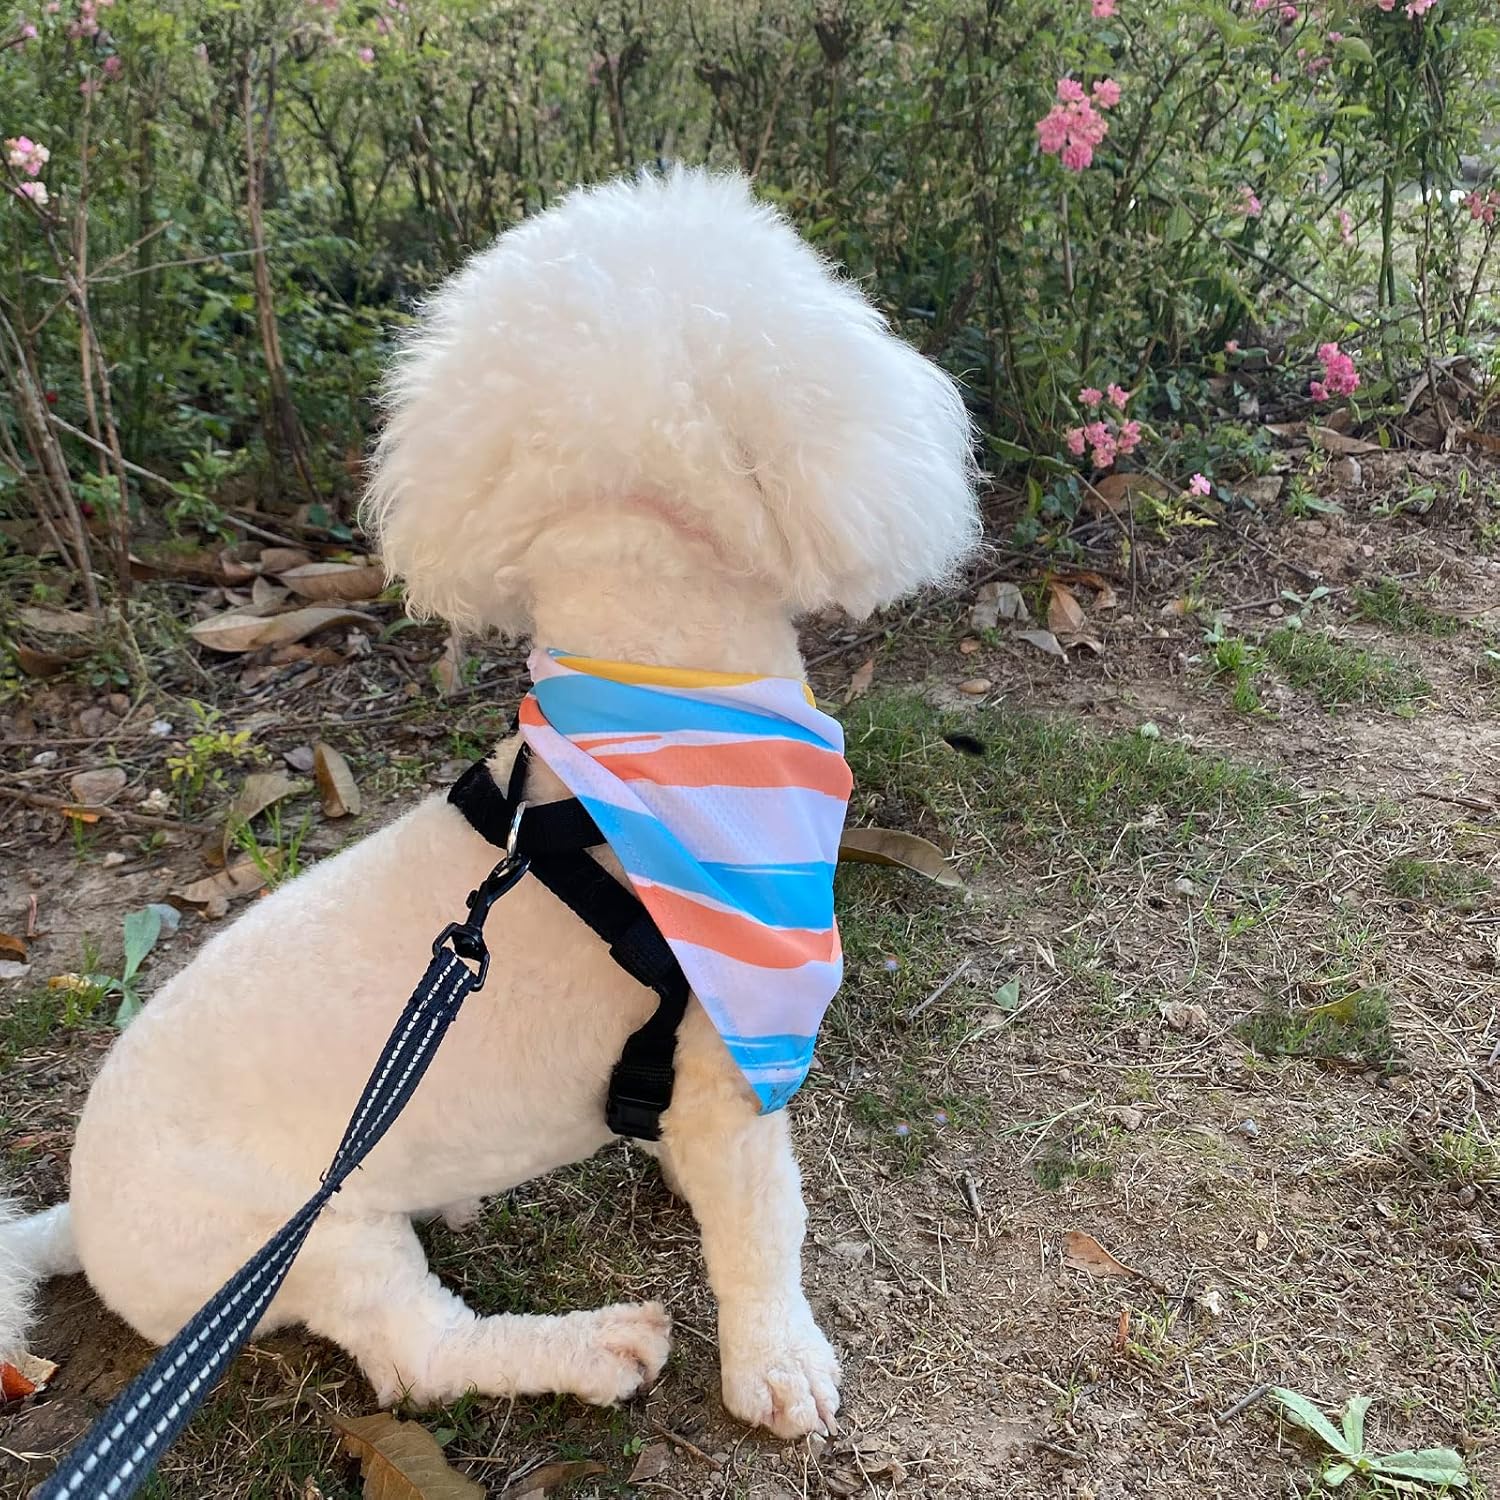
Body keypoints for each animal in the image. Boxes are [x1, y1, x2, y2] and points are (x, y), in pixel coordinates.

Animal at [0, 168, 978, 1440]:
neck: (648, 702)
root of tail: (80, 1217)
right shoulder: (734, 1067)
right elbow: (768, 1221)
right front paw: (779, 1363)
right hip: (314, 1242)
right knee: (416, 1356)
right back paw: (589, 1348)